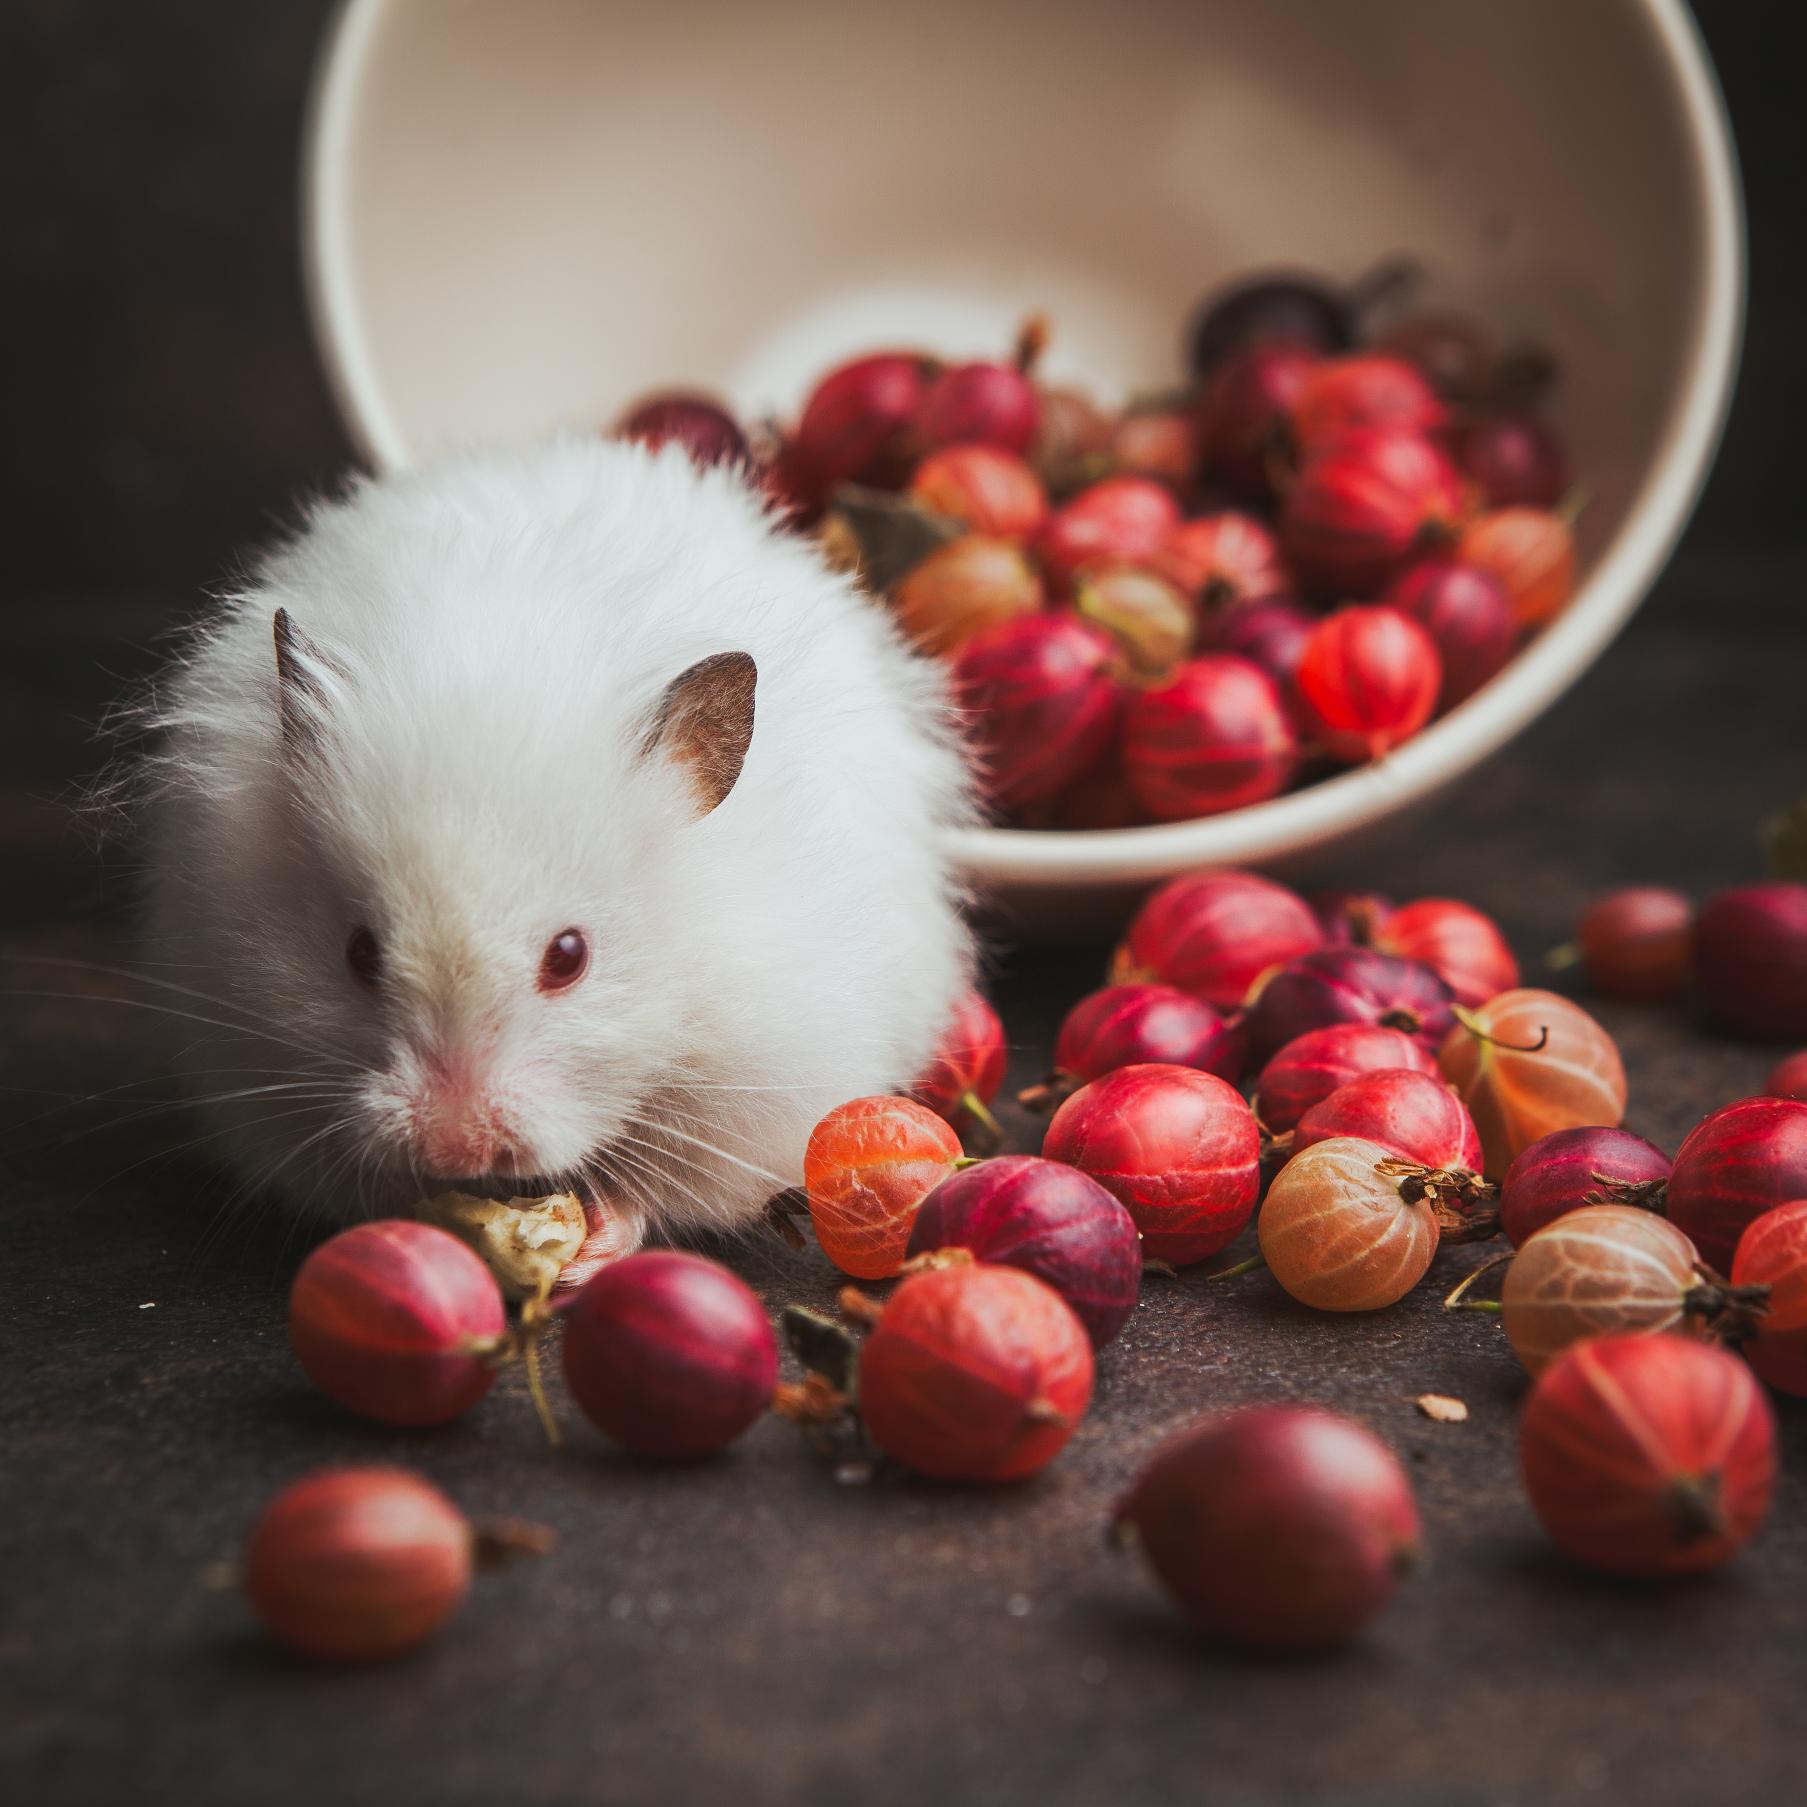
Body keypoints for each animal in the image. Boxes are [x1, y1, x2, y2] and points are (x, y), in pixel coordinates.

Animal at [134, 436, 975, 1265]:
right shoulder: (250, 1056)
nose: (455, 1148)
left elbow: (655, 1190)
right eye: (359, 954)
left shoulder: (753, 1087)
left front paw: (595, 1244)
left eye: (569, 957)